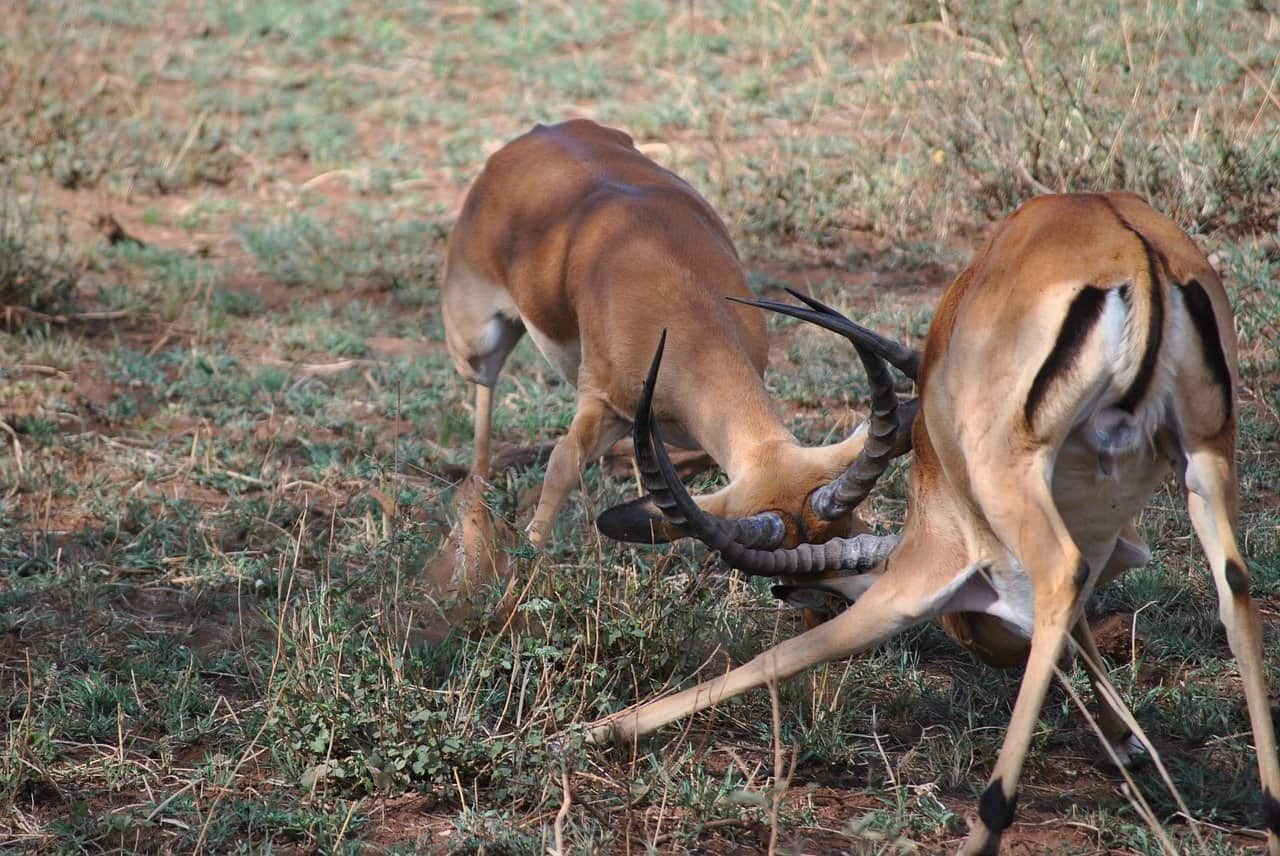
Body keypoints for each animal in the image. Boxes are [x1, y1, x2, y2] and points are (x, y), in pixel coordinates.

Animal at [442, 119, 912, 566]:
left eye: (844, 528)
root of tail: (534, 137)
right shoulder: (602, 401)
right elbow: (563, 463)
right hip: (476, 344)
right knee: (483, 403)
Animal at [589, 192, 1280, 854]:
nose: (992, 646)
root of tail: (1129, 251)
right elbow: (1082, 623)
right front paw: (1127, 741)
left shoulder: (931, 567)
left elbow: (791, 651)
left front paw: (605, 729)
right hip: (1206, 454)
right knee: (1235, 588)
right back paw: (1270, 811)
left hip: (1015, 476)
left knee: (1063, 578)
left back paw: (986, 827)